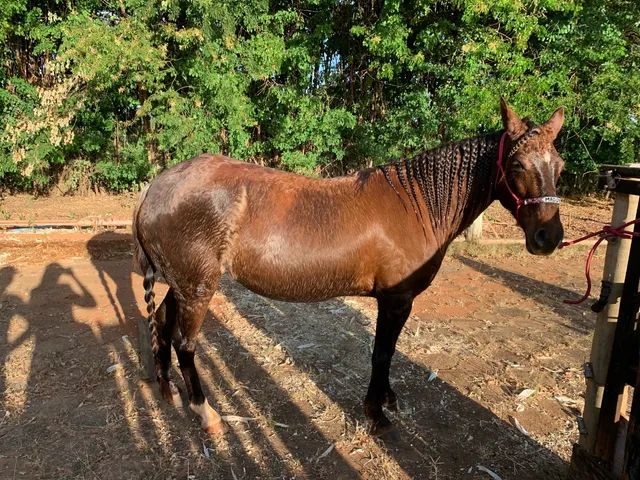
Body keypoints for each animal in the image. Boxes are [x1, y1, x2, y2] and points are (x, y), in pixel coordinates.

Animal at [132, 99, 564, 436]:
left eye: (558, 166)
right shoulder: (396, 299)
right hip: (198, 288)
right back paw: (206, 413)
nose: (549, 237)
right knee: (186, 344)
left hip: (184, 284)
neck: (416, 204)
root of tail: (156, 189)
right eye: (518, 165)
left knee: (164, 326)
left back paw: (169, 390)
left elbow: (388, 352)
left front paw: (387, 398)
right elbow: (381, 353)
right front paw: (377, 414)